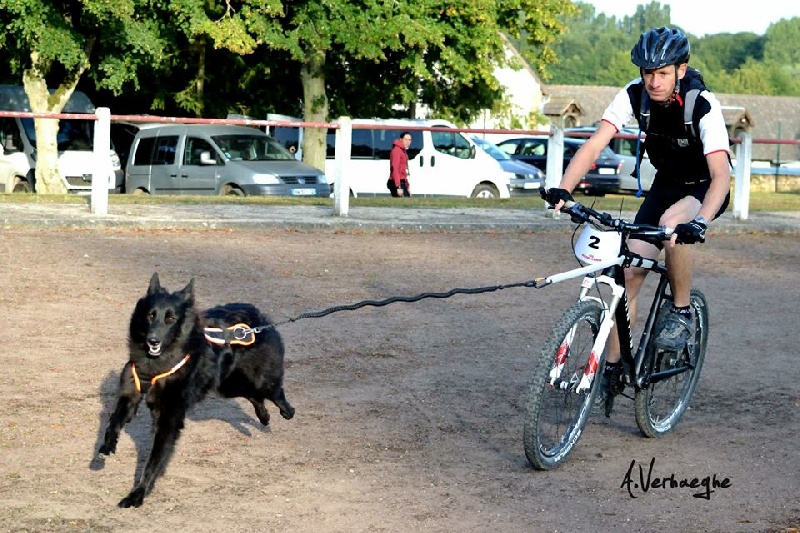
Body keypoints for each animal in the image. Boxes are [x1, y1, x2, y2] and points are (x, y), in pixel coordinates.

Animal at [97, 274, 294, 508]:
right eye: (150, 315)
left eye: (171, 318)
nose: (152, 340)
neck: (157, 363)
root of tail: (258, 317)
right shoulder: (130, 394)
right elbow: (113, 421)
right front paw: (107, 446)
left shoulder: (170, 417)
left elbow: (153, 461)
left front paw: (138, 493)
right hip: (228, 385)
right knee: (254, 396)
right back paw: (263, 417)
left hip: (260, 380)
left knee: (275, 393)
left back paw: (286, 412)